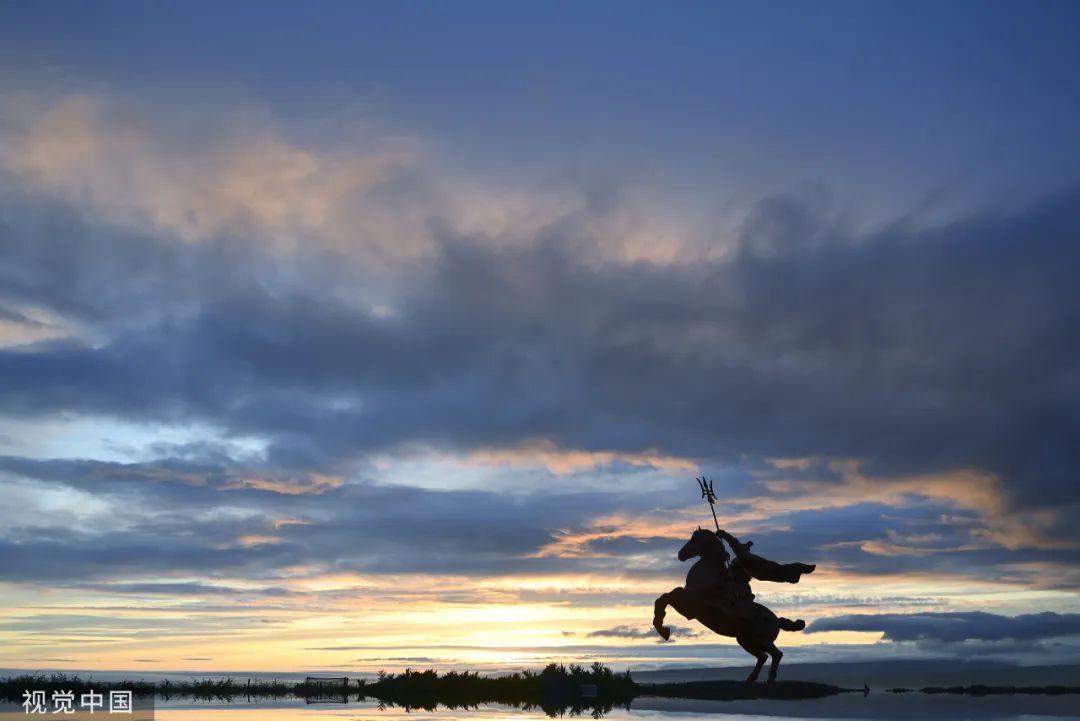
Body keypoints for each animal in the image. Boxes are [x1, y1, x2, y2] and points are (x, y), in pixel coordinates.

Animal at [652, 526, 807, 686]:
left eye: (694, 539)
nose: (680, 554)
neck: (708, 578)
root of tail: (777, 620)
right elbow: (663, 597)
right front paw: (662, 628)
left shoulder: (690, 604)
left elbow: (668, 596)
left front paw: (663, 630)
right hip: (746, 640)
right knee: (763, 656)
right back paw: (751, 679)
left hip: (762, 640)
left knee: (777, 654)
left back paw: (770, 679)